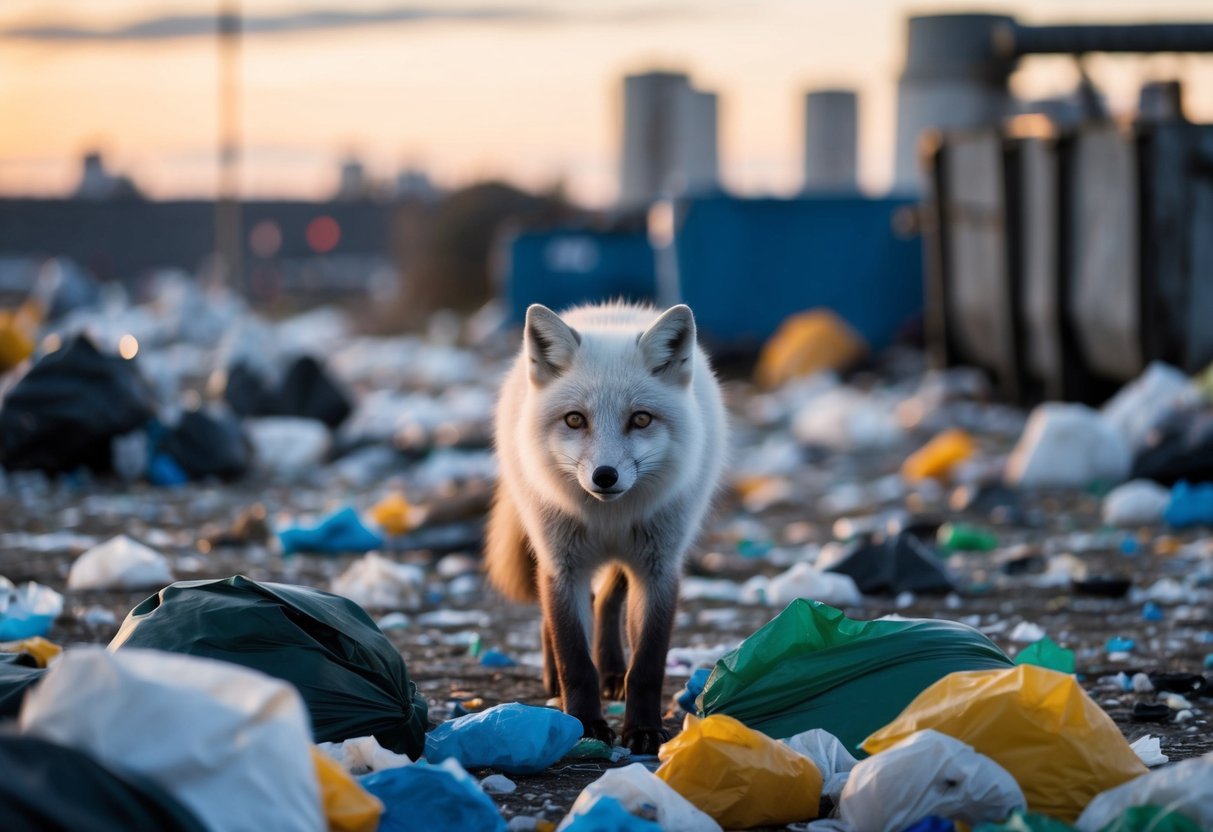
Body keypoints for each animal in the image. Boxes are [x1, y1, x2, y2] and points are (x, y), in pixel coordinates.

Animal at [485, 301, 728, 753]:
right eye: (575, 420)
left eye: (642, 419)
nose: (605, 476)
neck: (607, 517)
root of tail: (608, 307)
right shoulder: (563, 566)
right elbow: (575, 658)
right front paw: (584, 724)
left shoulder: (658, 569)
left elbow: (647, 664)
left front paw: (643, 729)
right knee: (556, 617)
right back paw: (555, 680)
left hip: (628, 555)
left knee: (607, 601)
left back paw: (613, 672)